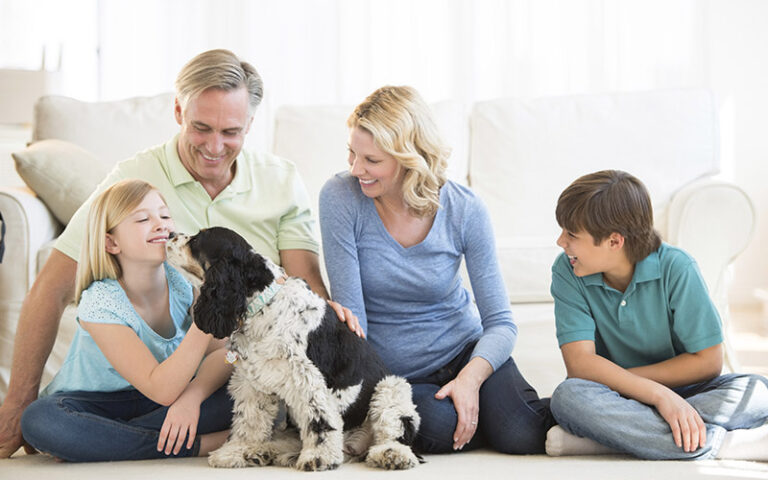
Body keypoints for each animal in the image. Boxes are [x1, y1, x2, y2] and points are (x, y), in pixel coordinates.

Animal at [165, 227, 424, 470]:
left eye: (197, 239)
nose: (169, 233)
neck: (263, 303)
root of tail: (353, 445)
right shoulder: (253, 382)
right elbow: (250, 420)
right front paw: (238, 451)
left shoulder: (306, 378)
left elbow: (319, 421)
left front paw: (319, 458)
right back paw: (262, 453)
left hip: (390, 389)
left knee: (393, 434)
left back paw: (391, 455)